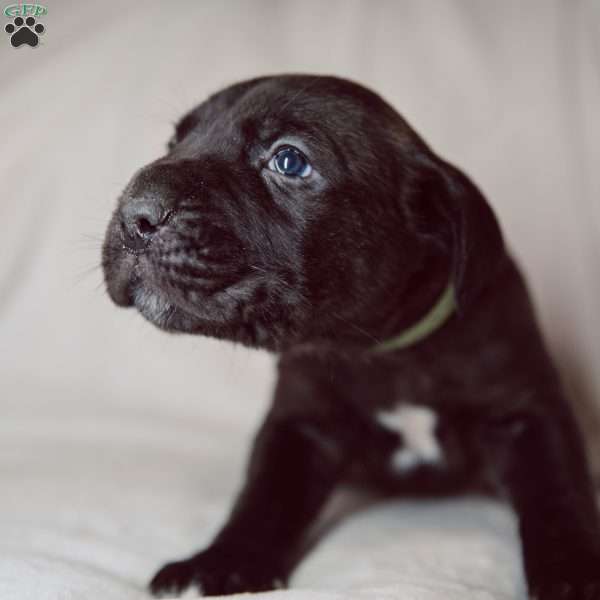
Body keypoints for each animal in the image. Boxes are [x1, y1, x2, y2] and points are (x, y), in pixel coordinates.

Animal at [102, 76, 600, 600]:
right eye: (174, 144)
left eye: (289, 161)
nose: (134, 214)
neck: (381, 351)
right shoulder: (301, 422)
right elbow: (265, 495)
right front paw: (224, 559)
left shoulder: (527, 412)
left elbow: (558, 494)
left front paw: (573, 572)